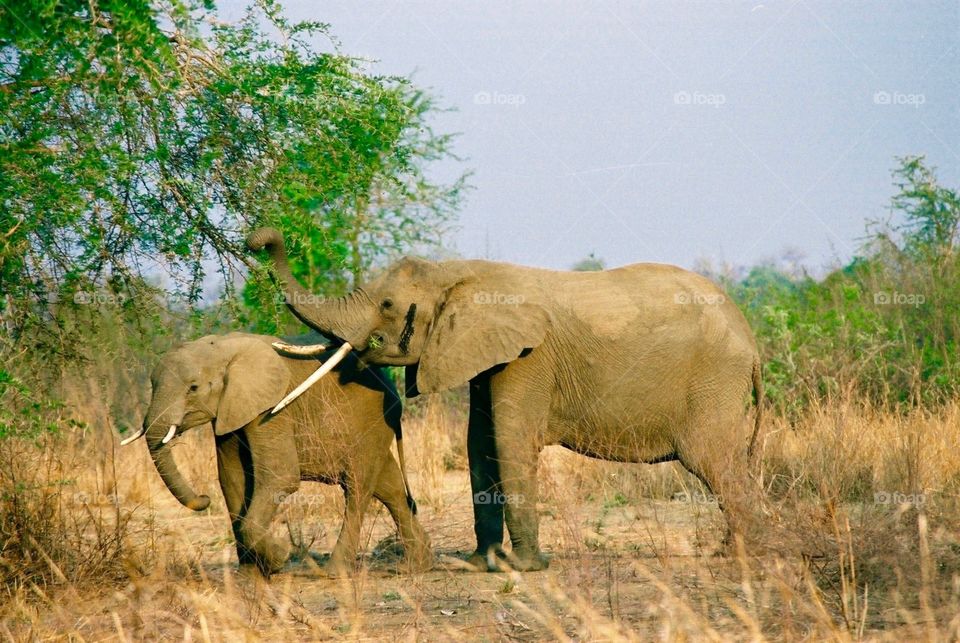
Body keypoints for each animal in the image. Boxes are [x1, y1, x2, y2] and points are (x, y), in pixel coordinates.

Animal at [122, 334, 430, 576]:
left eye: (193, 388)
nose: (203, 498)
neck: (222, 346)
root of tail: (394, 392)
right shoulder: (230, 411)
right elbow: (232, 480)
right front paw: (250, 575)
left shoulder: (271, 409)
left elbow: (280, 477)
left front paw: (280, 558)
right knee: (389, 488)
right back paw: (418, 564)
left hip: (370, 424)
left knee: (358, 488)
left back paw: (335, 572)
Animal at [249, 229, 764, 572]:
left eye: (388, 306)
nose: (259, 239)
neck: (458, 273)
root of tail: (750, 338)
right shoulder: (485, 355)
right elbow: (480, 443)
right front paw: (479, 564)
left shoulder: (528, 357)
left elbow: (509, 439)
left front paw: (524, 568)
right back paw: (731, 551)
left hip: (713, 382)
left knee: (712, 460)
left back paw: (738, 554)